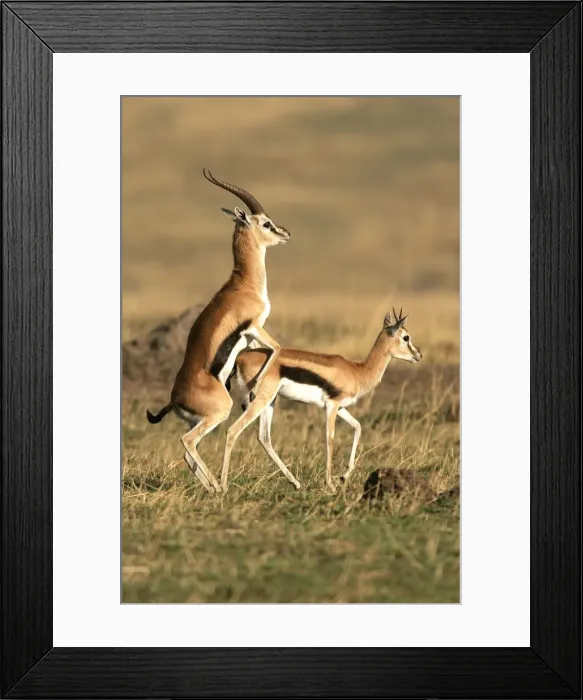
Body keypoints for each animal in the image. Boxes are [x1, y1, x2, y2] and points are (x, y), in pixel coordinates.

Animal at [146, 170, 290, 493]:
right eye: (266, 223)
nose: (285, 233)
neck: (243, 284)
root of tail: (176, 398)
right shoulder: (255, 326)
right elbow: (276, 348)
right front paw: (255, 385)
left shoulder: (250, 337)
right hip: (218, 414)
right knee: (187, 442)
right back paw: (219, 487)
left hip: (199, 421)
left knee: (189, 454)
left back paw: (212, 488)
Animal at [224, 309, 422, 492]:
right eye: (406, 337)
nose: (418, 355)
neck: (357, 371)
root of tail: (240, 358)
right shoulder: (331, 405)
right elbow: (330, 439)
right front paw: (331, 484)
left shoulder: (340, 407)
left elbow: (357, 426)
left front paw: (343, 476)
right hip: (260, 401)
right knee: (233, 431)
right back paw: (222, 486)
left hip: (270, 402)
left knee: (264, 437)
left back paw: (296, 483)